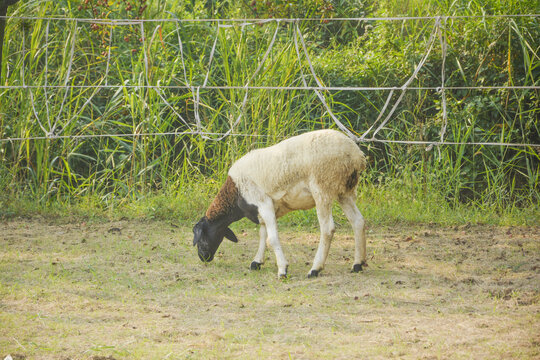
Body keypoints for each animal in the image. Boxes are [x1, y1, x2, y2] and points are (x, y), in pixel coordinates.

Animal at [193, 129, 368, 278]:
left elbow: (272, 239)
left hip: (322, 187)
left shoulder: (263, 204)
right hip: (344, 191)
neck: (234, 193)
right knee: (358, 221)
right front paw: (257, 262)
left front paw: (282, 270)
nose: (203, 258)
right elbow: (263, 235)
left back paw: (315, 269)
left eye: (200, 237)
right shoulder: (265, 210)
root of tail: (356, 155)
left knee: (328, 229)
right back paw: (358, 264)